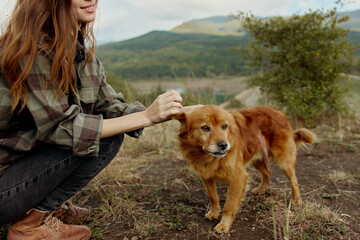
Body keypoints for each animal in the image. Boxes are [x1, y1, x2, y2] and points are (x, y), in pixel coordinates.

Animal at [174, 105, 316, 232]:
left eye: (224, 126)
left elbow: (229, 205)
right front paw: (214, 213)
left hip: (284, 161)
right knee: (268, 173)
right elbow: (213, 197)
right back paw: (260, 190)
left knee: (294, 180)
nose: (224, 145)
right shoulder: (206, 176)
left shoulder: (238, 177)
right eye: (205, 128)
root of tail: (280, 113)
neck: (208, 157)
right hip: (256, 159)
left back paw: (297, 200)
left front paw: (224, 225)